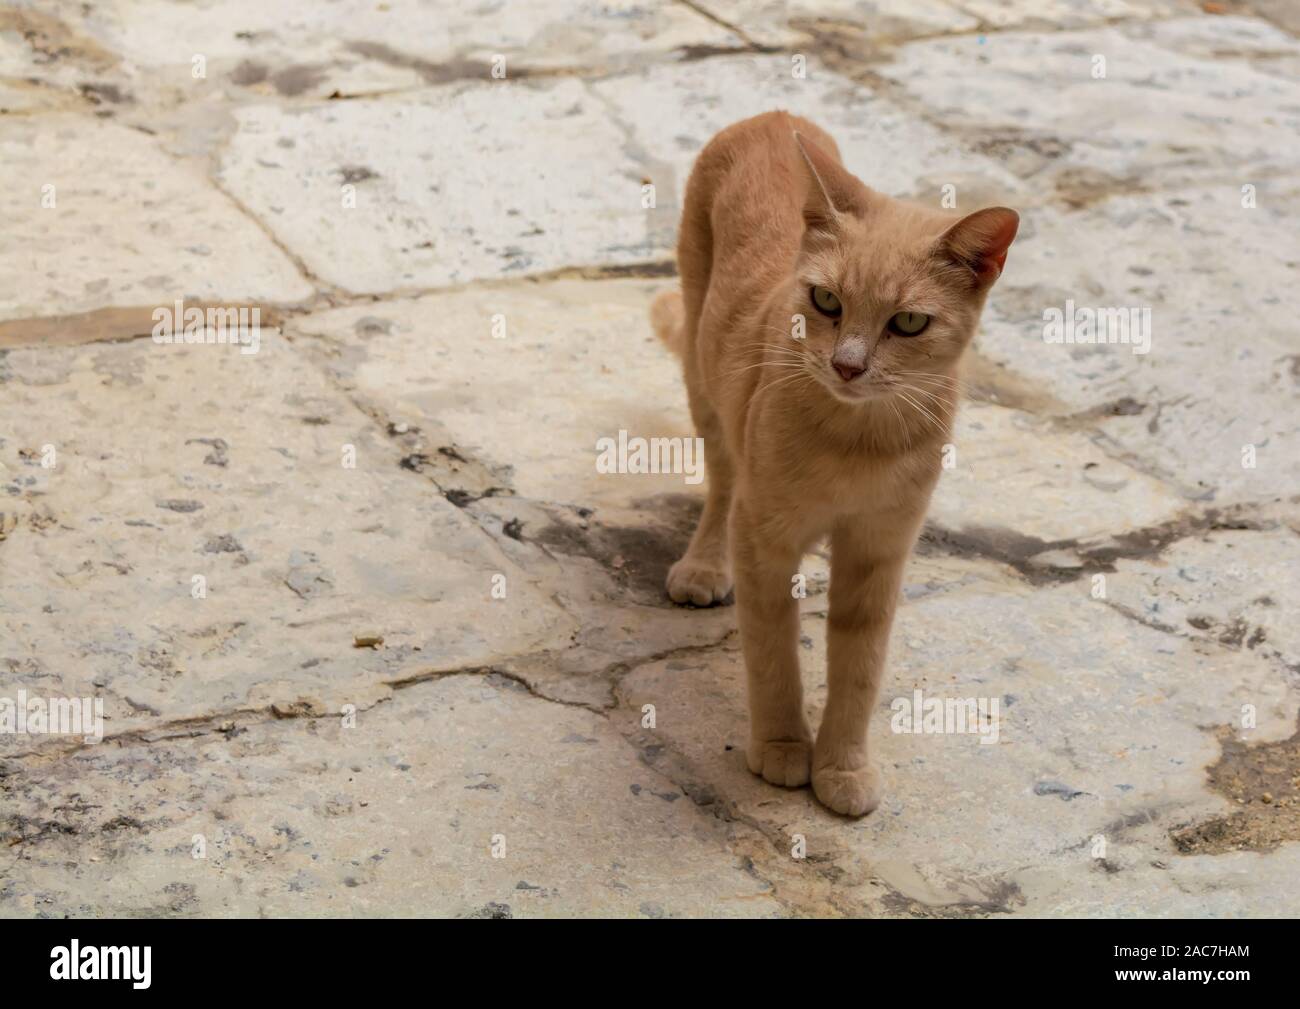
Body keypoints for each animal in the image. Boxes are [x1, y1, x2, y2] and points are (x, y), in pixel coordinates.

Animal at [650, 114, 1013, 816]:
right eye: (825, 300)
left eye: (908, 321)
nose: (847, 366)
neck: (857, 443)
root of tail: (773, 114)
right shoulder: (762, 535)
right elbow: (772, 653)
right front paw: (784, 745)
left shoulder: (880, 548)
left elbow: (859, 666)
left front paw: (842, 765)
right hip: (706, 382)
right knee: (721, 482)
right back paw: (704, 564)